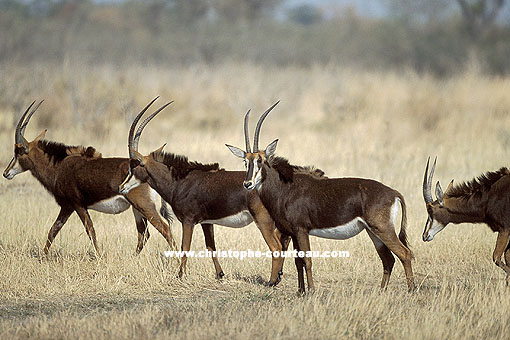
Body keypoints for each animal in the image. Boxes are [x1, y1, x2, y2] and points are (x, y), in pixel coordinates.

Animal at [2, 99, 177, 256]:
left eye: (18, 152)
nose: (6, 173)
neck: (60, 166)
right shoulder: (67, 206)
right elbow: (53, 230)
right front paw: (42, 257)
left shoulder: (77, 205)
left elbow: (90, 230)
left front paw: (99, 257)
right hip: (137, 209)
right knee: (144, 234)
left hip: (144, 206)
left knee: (164, 229)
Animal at [226, 102, 414, 294]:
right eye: (245, 161)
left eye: (261, 160)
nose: (247, 184)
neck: (286, 187)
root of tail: (394, 193)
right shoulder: (294, 233)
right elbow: (298, 261)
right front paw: (300, 291)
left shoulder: (301, 230)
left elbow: (307, 260)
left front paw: (311, 291)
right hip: (373, 232)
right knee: (388, 259)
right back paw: (382, 291)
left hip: (383, 229)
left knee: (405, 254)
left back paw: (411, 290)